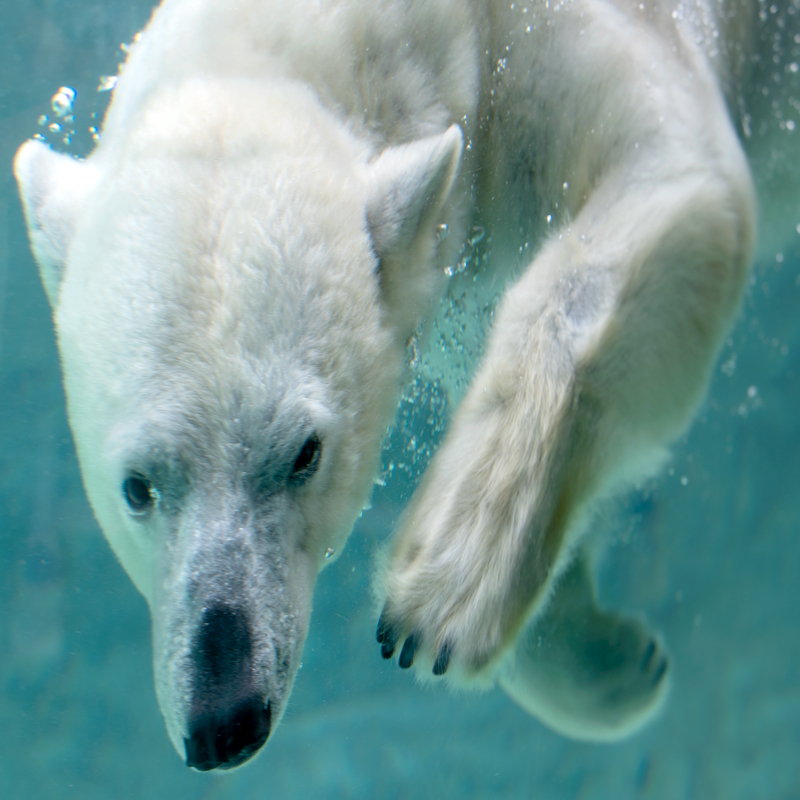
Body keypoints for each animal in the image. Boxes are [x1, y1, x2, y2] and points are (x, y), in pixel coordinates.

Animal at [17, 0, 792, 772]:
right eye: (136, 488)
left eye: (306, 454)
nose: (224, 717)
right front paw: (609, 662)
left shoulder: (566, 49)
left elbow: (682, 184)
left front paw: (440, 598)